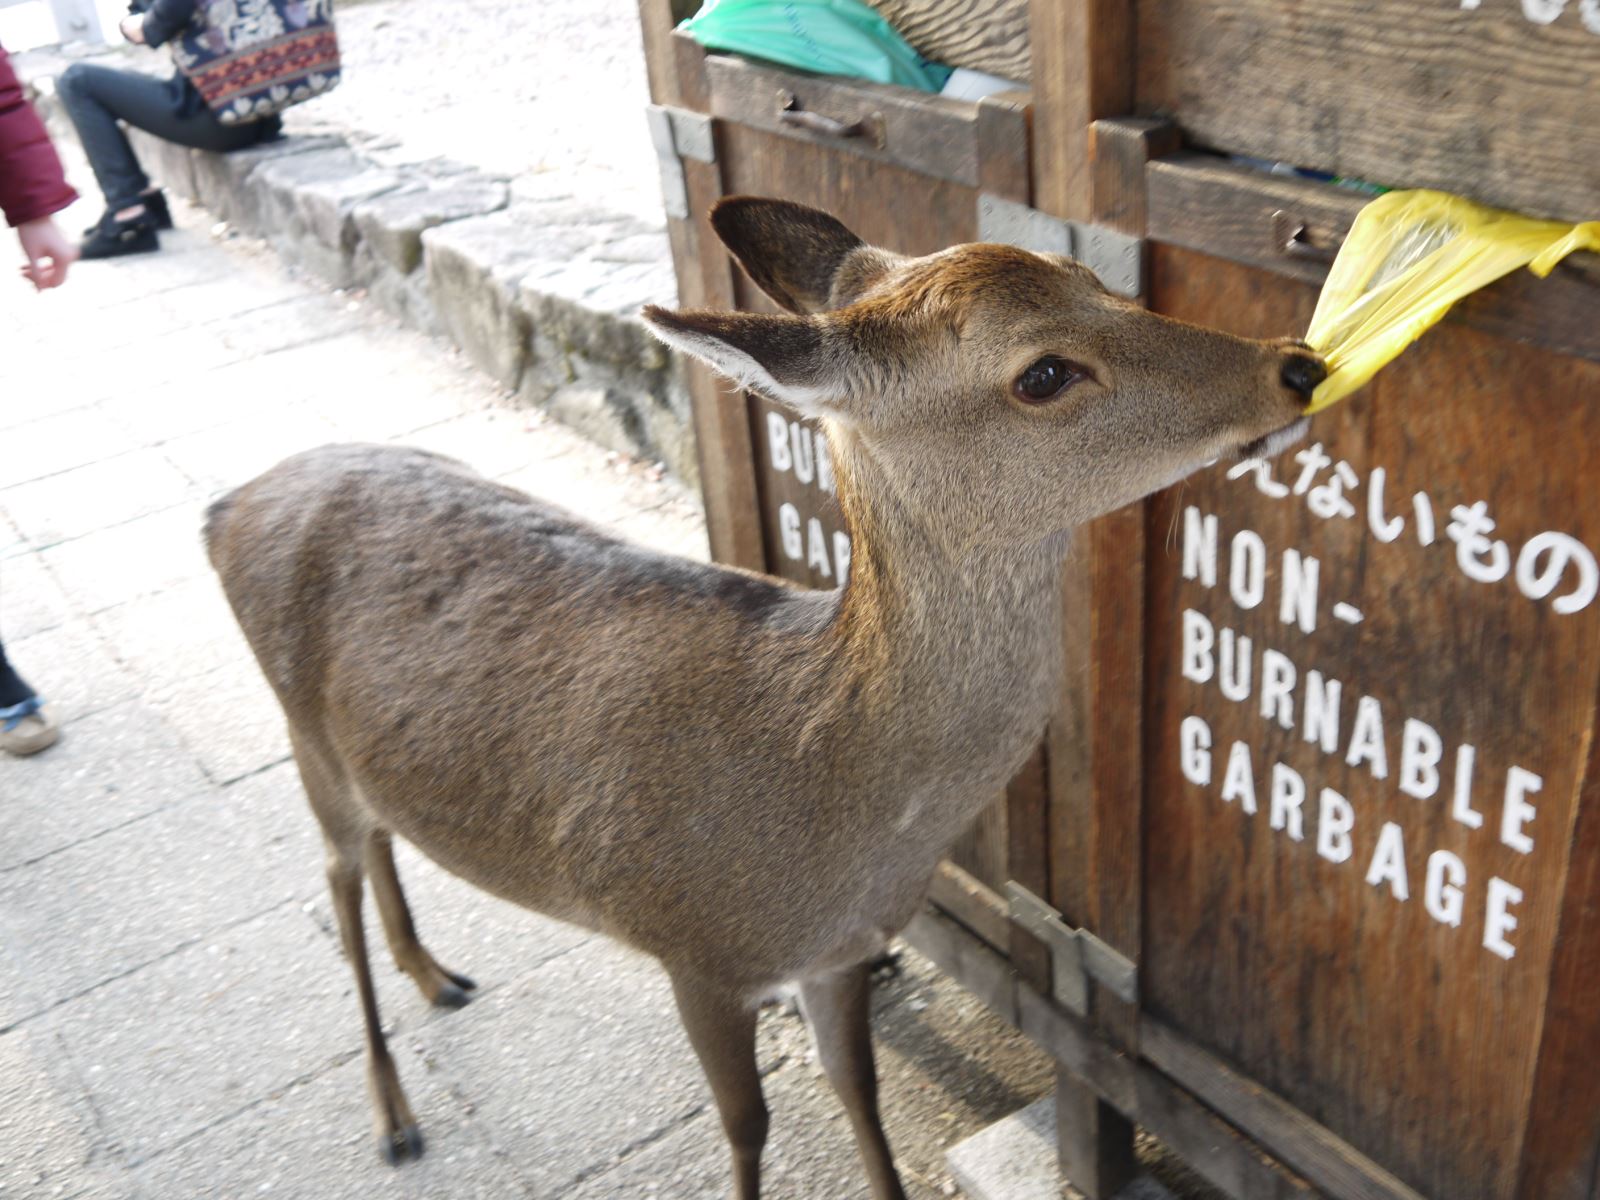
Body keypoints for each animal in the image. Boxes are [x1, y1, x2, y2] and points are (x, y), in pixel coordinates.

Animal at [203, 192, 1324, 1196]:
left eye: (1095, 279)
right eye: (1043, 372)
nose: (1298, 365)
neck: (827, 811)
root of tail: (227, 506)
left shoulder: (838, 956)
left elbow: (860, 1093)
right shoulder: (693, 949)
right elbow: (746, 1127)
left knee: (378, 842)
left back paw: (437, 975)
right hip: (300, 734)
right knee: (334, 878)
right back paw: (394, 1116)